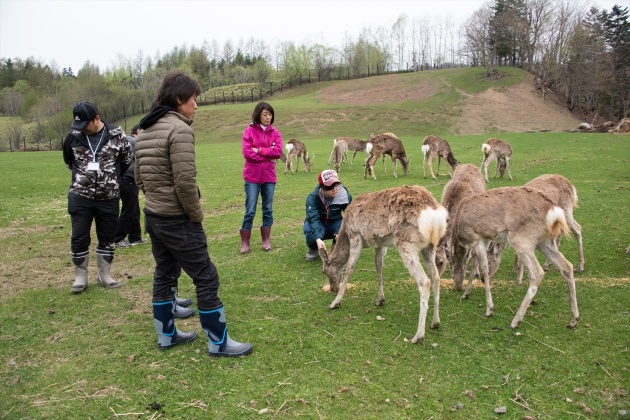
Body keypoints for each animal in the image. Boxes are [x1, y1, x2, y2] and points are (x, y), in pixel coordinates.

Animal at [320, 186, 450, 344]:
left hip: (406, 243)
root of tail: (434, 215)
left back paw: (418, 336)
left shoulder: (356, 236)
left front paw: (335, 302)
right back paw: (436, 322)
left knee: (424, 281)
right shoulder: (379, 243)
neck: (345, 230)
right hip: (430, 246)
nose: (332, 288)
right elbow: (378, 266)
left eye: (324, 271)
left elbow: (349, 269)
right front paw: (380, 300)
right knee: (436, 277)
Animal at [450, 185, 584, 330]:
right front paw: (466, 294)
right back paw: (574, 319)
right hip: (545, 242)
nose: (458, 286)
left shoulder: (476, 239)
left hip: (522, 240)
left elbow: (483, 268)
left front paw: (489, 309)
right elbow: (475, 264)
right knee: (567, 266)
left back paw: (515, 321)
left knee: (537, 272)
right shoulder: (484, 240)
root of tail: (555, 213)